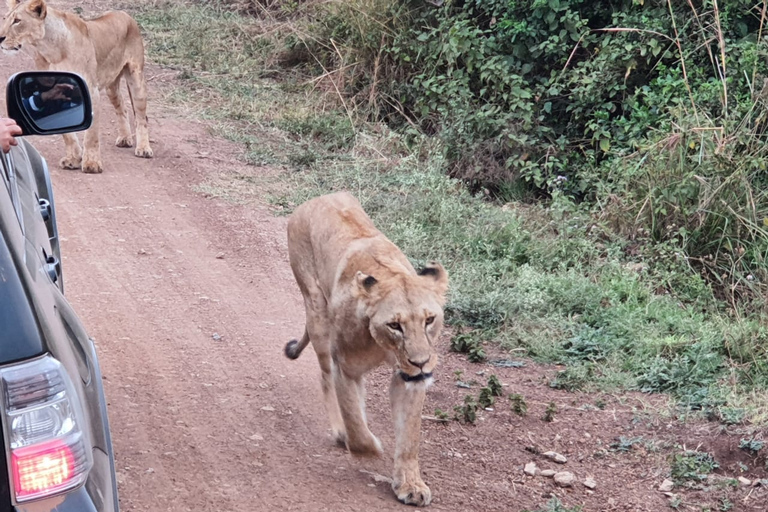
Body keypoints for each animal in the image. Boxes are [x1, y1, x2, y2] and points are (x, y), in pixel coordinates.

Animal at [0, 0, 153, 174]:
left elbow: (91, 134)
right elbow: (66, 133)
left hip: (136, 77)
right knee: (122, 107)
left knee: (141, 117)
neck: (48, 49)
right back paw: (125, 138)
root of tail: (125, 14)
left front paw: (92, 164)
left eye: (17, 21)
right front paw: (73, 159)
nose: (0, 37)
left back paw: (144, 148)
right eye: (5, 18)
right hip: (111, 85)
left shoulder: (91, 91)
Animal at [284, 191, 448, 504]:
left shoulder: (410, 380)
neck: (383, 345)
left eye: (429, 320)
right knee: (325, 377)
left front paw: (410, 485)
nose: (421, 362)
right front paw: (370, 447)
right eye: (395, 325)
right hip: (316, 310)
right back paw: (339, 432)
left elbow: (410, 436)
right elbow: (355, 422)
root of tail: (318, 198)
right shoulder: (346, 367)